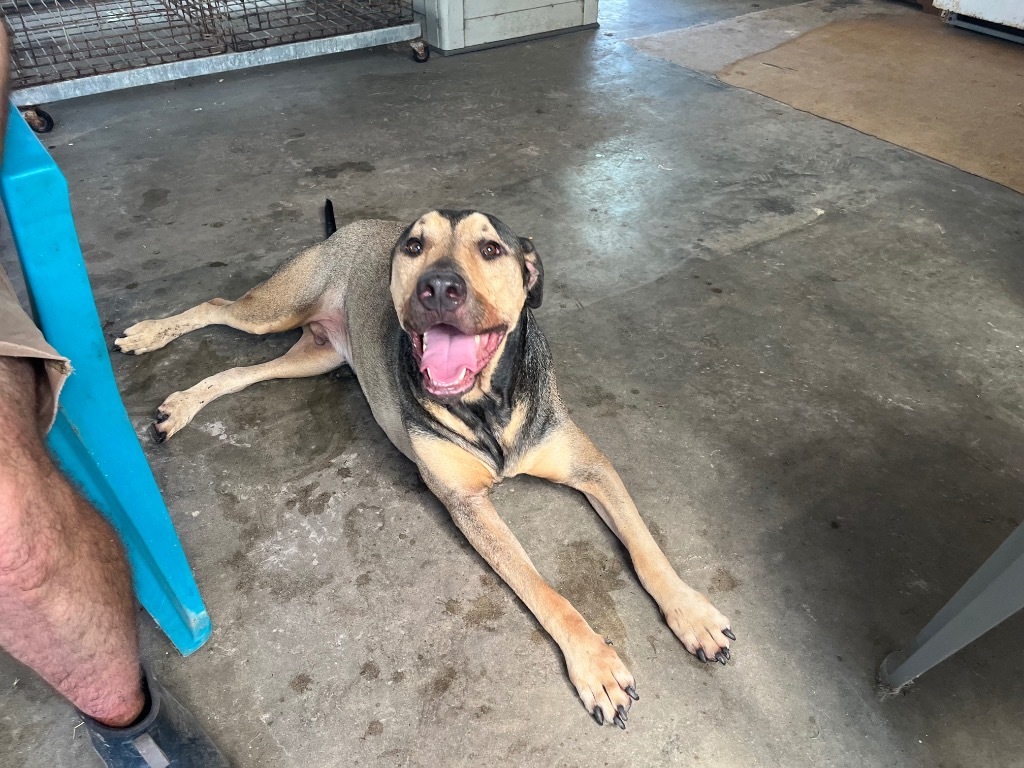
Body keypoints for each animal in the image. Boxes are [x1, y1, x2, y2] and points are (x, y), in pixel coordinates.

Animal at [114, 207, 737, 729]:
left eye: (490, 249)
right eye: (415, 245)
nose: (437, 286)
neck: (489, 403)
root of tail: (352, 225)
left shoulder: (592, 467)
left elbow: (645, 546)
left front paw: (691, 613)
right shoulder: (468, 505)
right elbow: (543, 589)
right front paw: (595, 664)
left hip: (313, 356)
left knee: (243, 373)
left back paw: (181, 405)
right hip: (277, 309)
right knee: (218, 307)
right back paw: (149, 334)